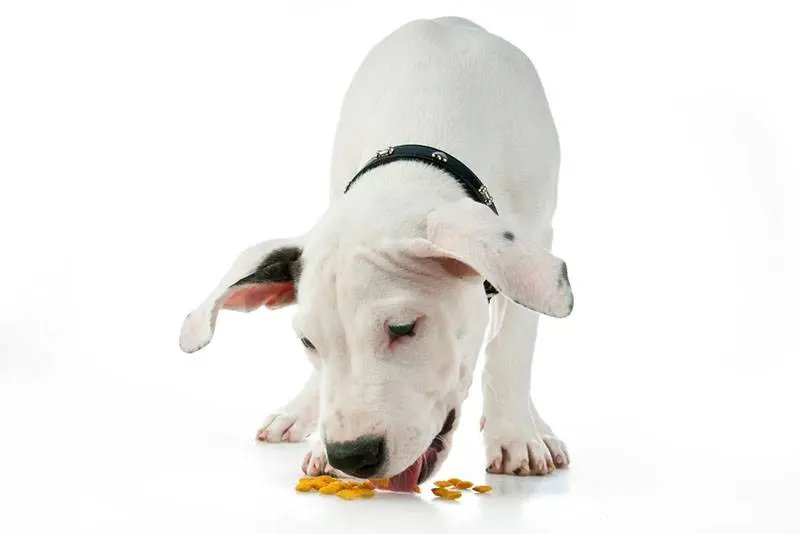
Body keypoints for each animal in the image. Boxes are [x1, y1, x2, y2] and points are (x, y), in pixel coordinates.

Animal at [179, 15, 572, 494]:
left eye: (403, 328)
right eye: (308, 342)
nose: (351, 456)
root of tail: (449, 20)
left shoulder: (534, 236)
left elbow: (511, 349)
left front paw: (516, 436)